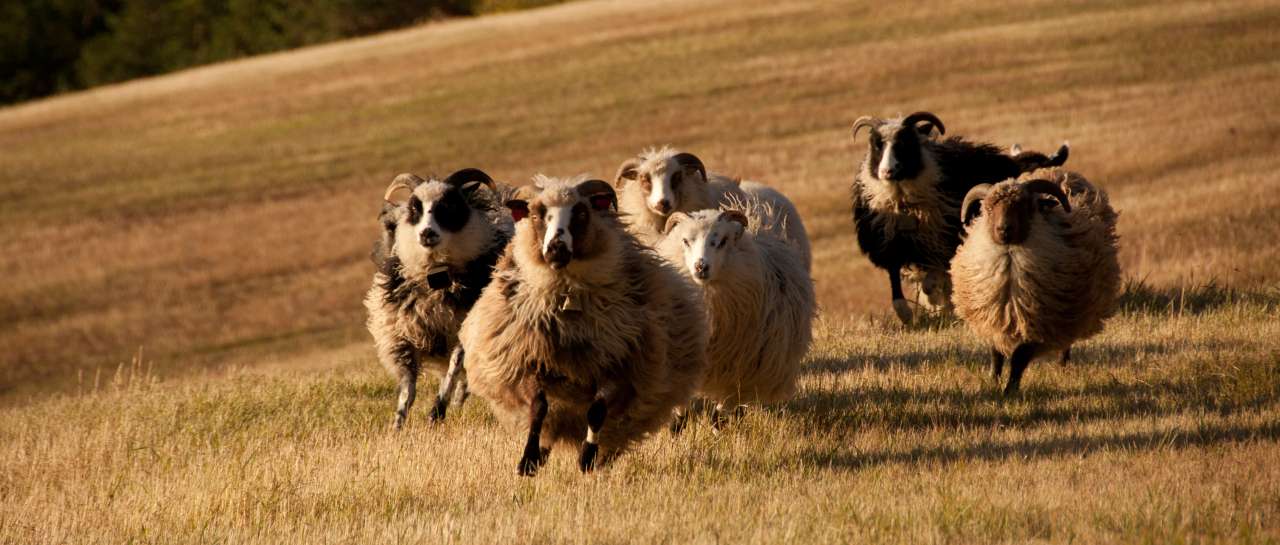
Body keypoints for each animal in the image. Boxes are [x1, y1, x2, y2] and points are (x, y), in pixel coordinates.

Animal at [363, 167, 512, 427]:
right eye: (415, 208)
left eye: (449, 205)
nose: (427, 234)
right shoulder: (400, 337)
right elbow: (408, 387)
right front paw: (398, 425)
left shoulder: (465, 330)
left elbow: (452, 370)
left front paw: (436, 413)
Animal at [458, 175, 711, 475]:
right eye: (536, 215)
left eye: (580, 213)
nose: (556, 248)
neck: (568, 303)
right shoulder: (529, 361)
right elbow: (538, 408)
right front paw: (528, 460)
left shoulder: (617, 365)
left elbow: (597, 411)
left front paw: (587, 456)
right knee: (552, 422)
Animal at [655, 197, 814, 424]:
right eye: (685, 241)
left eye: (722, 241)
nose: (701, 267)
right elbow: (679, 411)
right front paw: (677, 421)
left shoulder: (739, 374)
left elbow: (719, 416)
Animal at [849, 111, 1070, 323]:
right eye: (876, 145)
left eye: (904, 143)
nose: (886, 171)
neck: (903, 201)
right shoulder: (888, 242)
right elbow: (895, 275)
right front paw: (905, 313)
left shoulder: (942, 240)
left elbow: (934, 275)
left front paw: (934, 300)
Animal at [952, 167, 1121, 394]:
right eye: (988, 208)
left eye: (1024, 206)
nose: (1004, 229)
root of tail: (1056, 171)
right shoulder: (992, 319)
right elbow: (996, 354)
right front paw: (993, 382)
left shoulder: (1042, 324)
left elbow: (1019, 357)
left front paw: (1010, 390)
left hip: (1071, 310)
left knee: (1065, 343)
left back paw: (1062, 366)